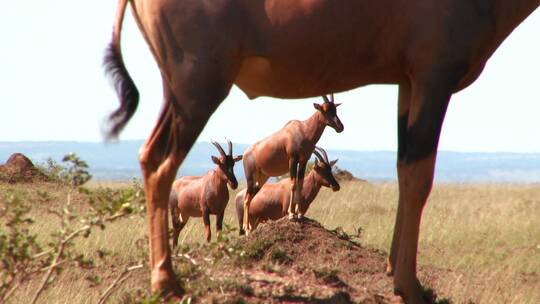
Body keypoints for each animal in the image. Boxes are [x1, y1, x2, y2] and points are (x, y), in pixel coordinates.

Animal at [242, 94, 342, 234]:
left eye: (335, 109)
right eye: (325, 109)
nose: (340, 127)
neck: (303, 129)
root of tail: (245, 154)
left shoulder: (303, 160)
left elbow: (300, 183)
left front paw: (299, 214)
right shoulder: (293, 159)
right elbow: (293, 184)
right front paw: (291, 214)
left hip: (261, 179)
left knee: (250, 197)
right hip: (250, 177)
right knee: (246, 199)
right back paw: (246, 228)